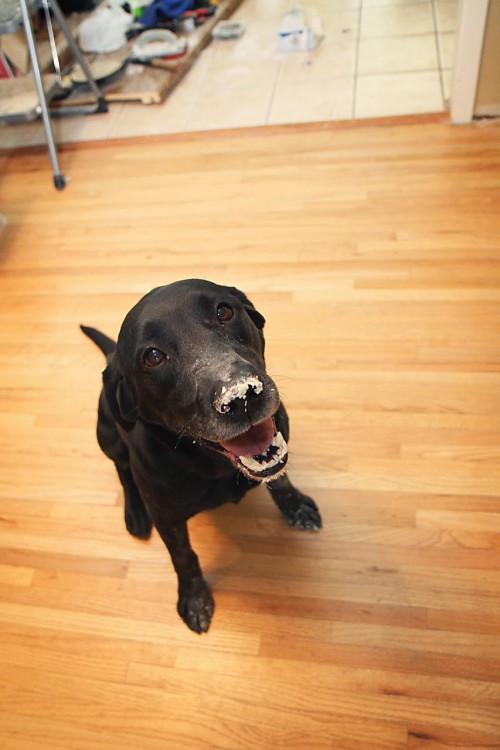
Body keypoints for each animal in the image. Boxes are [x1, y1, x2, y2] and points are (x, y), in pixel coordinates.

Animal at [82, 282, 320, 636]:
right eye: (153, 356)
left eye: (224, 311)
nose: (241, 396)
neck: (214, 465)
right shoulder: (167, 518)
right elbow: (184, 557)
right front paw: (194, 598)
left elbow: (281, 480)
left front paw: (295, 504)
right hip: (108, 437)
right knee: (123, 471)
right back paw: (135, 512)